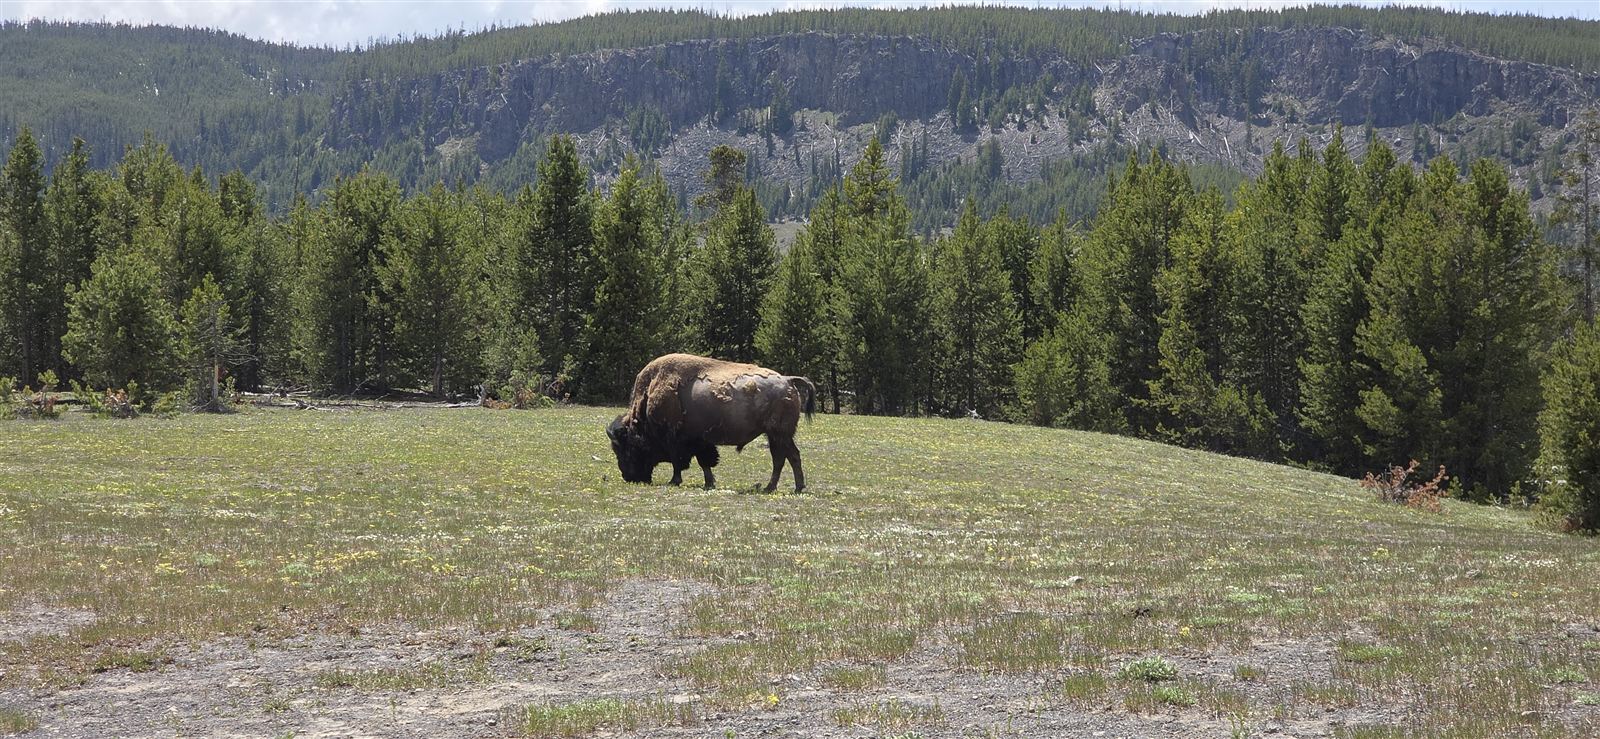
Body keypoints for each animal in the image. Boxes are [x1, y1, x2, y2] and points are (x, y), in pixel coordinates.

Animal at [606, 353, 815, 492]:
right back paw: (771, 488)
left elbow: (680, 462)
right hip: (775, 435)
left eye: (623, 448)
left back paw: (794, 488)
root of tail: (788, 380)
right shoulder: (701, 442)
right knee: (781, 458)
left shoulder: (677, 441)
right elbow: (704, 462)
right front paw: (709, 483)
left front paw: (674, 481)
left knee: (790, 456)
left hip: (780, 434)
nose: (628, 476)